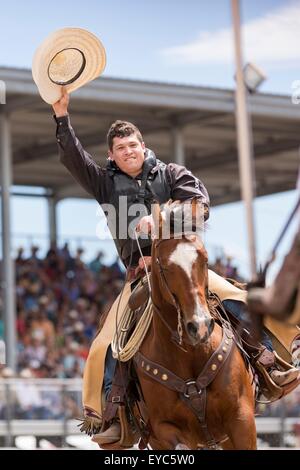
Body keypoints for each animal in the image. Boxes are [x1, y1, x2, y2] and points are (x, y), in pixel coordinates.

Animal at [135, 200, 256, 450]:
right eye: (164, 266)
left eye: (205, 260)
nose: (199, 326)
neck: (189, 353)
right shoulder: (163, 429)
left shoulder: (242, 418)